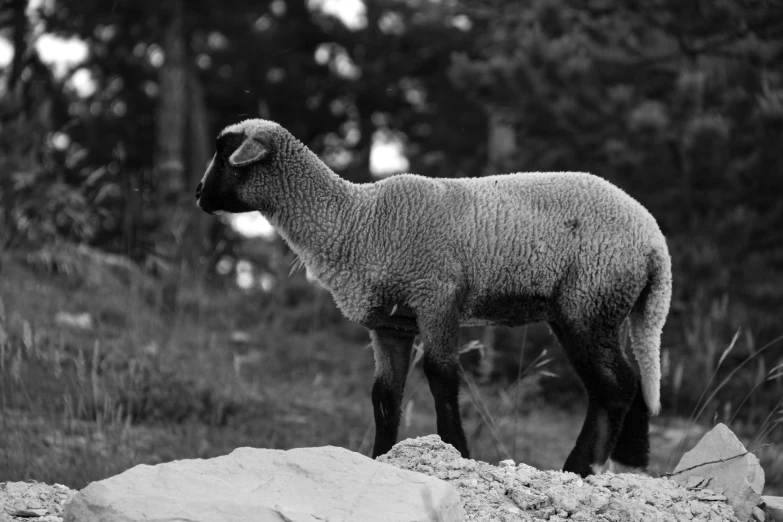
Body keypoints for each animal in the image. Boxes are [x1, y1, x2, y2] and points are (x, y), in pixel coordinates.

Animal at [194, 118, 672, 476]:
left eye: (225, 152)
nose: (198, 194)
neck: (354, 220)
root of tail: (654, 241)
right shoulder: (390, 324)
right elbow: (384, 395)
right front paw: (381, 458)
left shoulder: (438, 297)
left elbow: (441, 376)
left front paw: (456, 452)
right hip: (595, 308)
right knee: (619, 382)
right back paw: (628, 460)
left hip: (589, 300)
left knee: (616, 384)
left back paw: (581, 467)